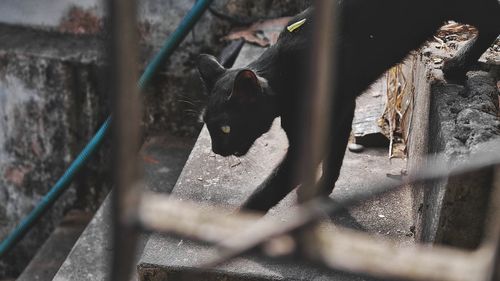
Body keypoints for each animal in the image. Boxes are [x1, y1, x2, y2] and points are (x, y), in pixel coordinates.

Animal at [198, 0, 500, 210]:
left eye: (226, 128)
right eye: (207, 126)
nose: (216, 150)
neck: (284, 73)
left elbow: (272, 186)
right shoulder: (343, 112)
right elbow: (334, 156)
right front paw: (318, 191)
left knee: (492, 19)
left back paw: (458, 63)